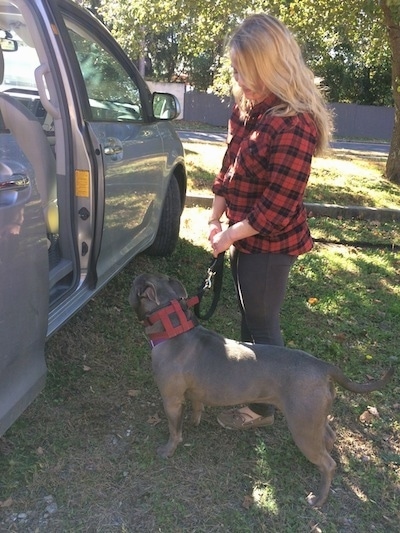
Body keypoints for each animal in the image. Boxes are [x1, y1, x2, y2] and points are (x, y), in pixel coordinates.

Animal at [129, 272, 394, 504]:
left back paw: (318, 498)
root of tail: (323, 366)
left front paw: (168, 450)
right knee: (328, 436)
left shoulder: (171, 400)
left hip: (302, 424)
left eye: (136, 285)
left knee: (328, 464)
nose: (133, 280)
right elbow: (197, 406)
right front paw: (195, 422)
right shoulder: (194, 393)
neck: (174, 328)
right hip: (314, 417)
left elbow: (174, 430)